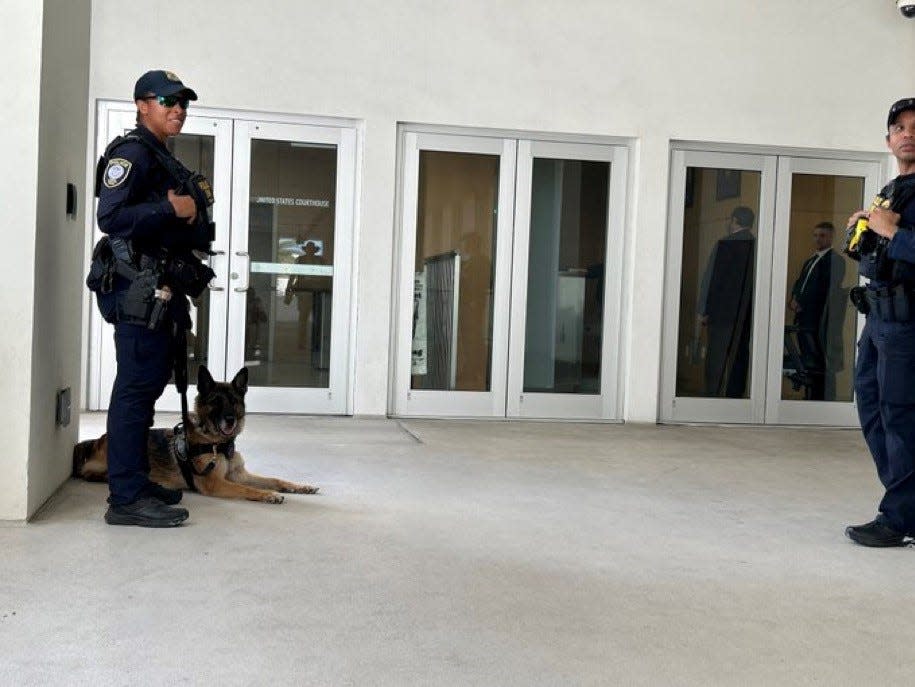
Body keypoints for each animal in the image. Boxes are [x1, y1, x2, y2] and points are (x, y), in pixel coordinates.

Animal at [73, 366, 320, 506]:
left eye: (234, 401)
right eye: (216, 402)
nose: (230, 419)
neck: (219, 443)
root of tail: (98, 440)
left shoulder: (238, 474)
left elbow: (275, 479)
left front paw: (300, 487)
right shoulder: (216, 483)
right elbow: (247, 489)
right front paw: (268, 494)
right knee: (93, 473)